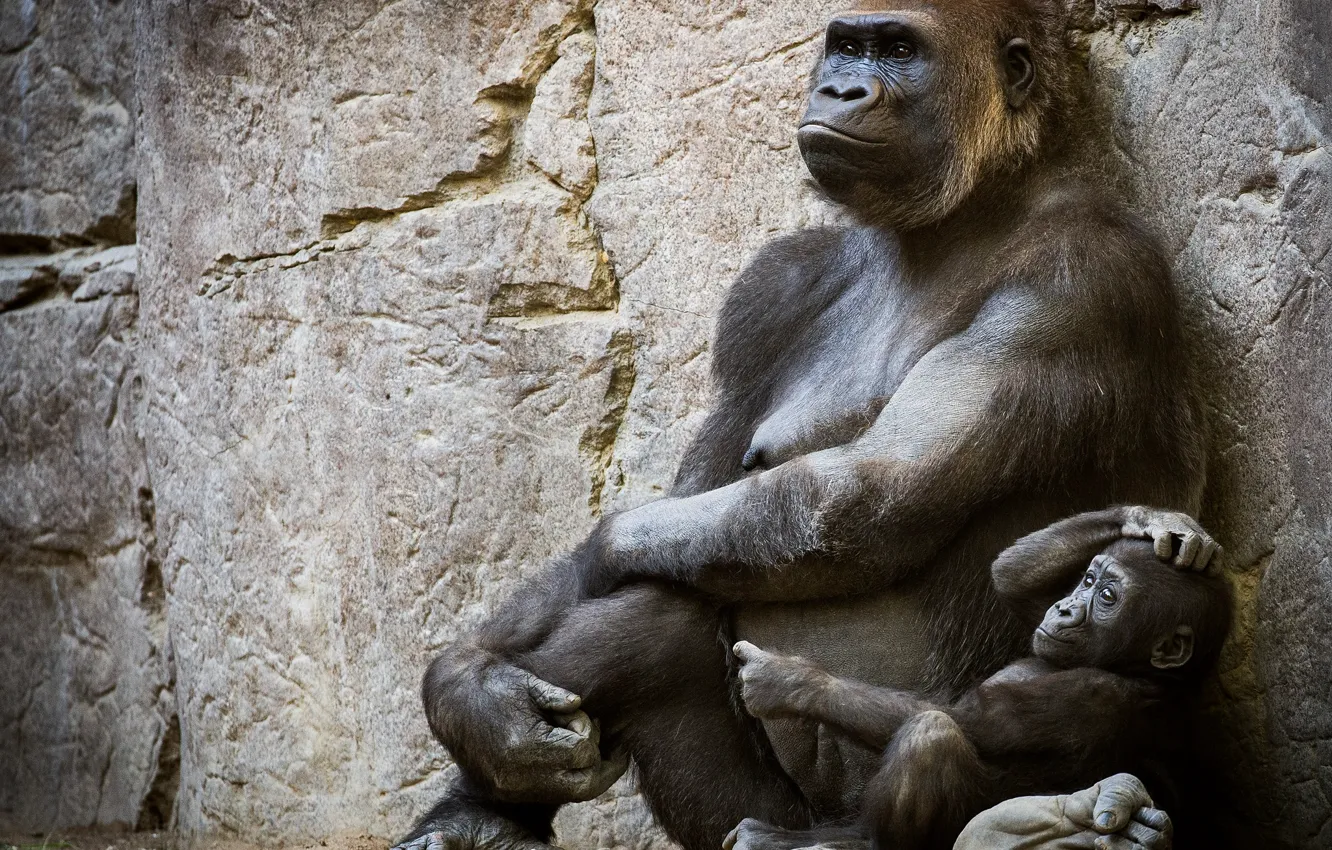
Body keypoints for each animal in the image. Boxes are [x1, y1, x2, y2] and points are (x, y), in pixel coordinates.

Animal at [724, 508, 1229, 850]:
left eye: (1108, 597)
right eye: (1087, 581)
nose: (1065, 609)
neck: (1128, 666)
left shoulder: (1092, 696)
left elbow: (969, 719)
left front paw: (790, 681)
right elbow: (1011, 579)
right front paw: (1157, 521)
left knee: (933, 733)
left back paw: (861, 841)